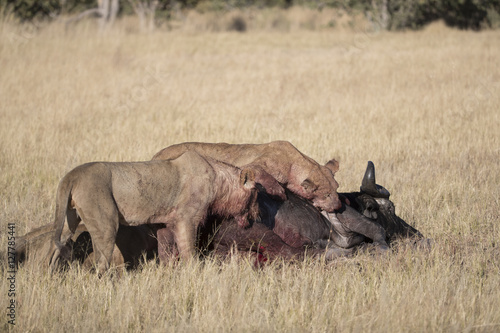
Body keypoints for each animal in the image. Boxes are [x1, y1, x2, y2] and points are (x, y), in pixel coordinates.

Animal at [47, 151, 260, 274]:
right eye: (256, 194)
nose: (257, 215)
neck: (219, 181)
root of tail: (71, 175)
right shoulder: (186, 219)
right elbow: (189, 250)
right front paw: (193, 273)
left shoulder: (165, 223)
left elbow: (168, 250)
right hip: (105, 221)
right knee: (102, 261)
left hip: (68, 219)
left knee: (55, 246)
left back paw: (49, 275)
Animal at [150, 139, 342, 210]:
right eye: (326, 194)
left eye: (337, 188)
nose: (338, 206)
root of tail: (155, 155)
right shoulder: (250, 166)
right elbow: (262, 173)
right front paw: (277, 191)